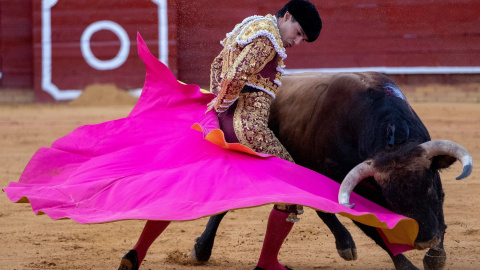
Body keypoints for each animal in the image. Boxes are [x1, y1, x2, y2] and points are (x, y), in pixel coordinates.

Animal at [189, 71, 470, 270]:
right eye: (391, 199)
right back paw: (201, 249)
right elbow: (376, 230)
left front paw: (435, 256)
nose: (423, 240)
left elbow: (440, 217)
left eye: (430, 187)